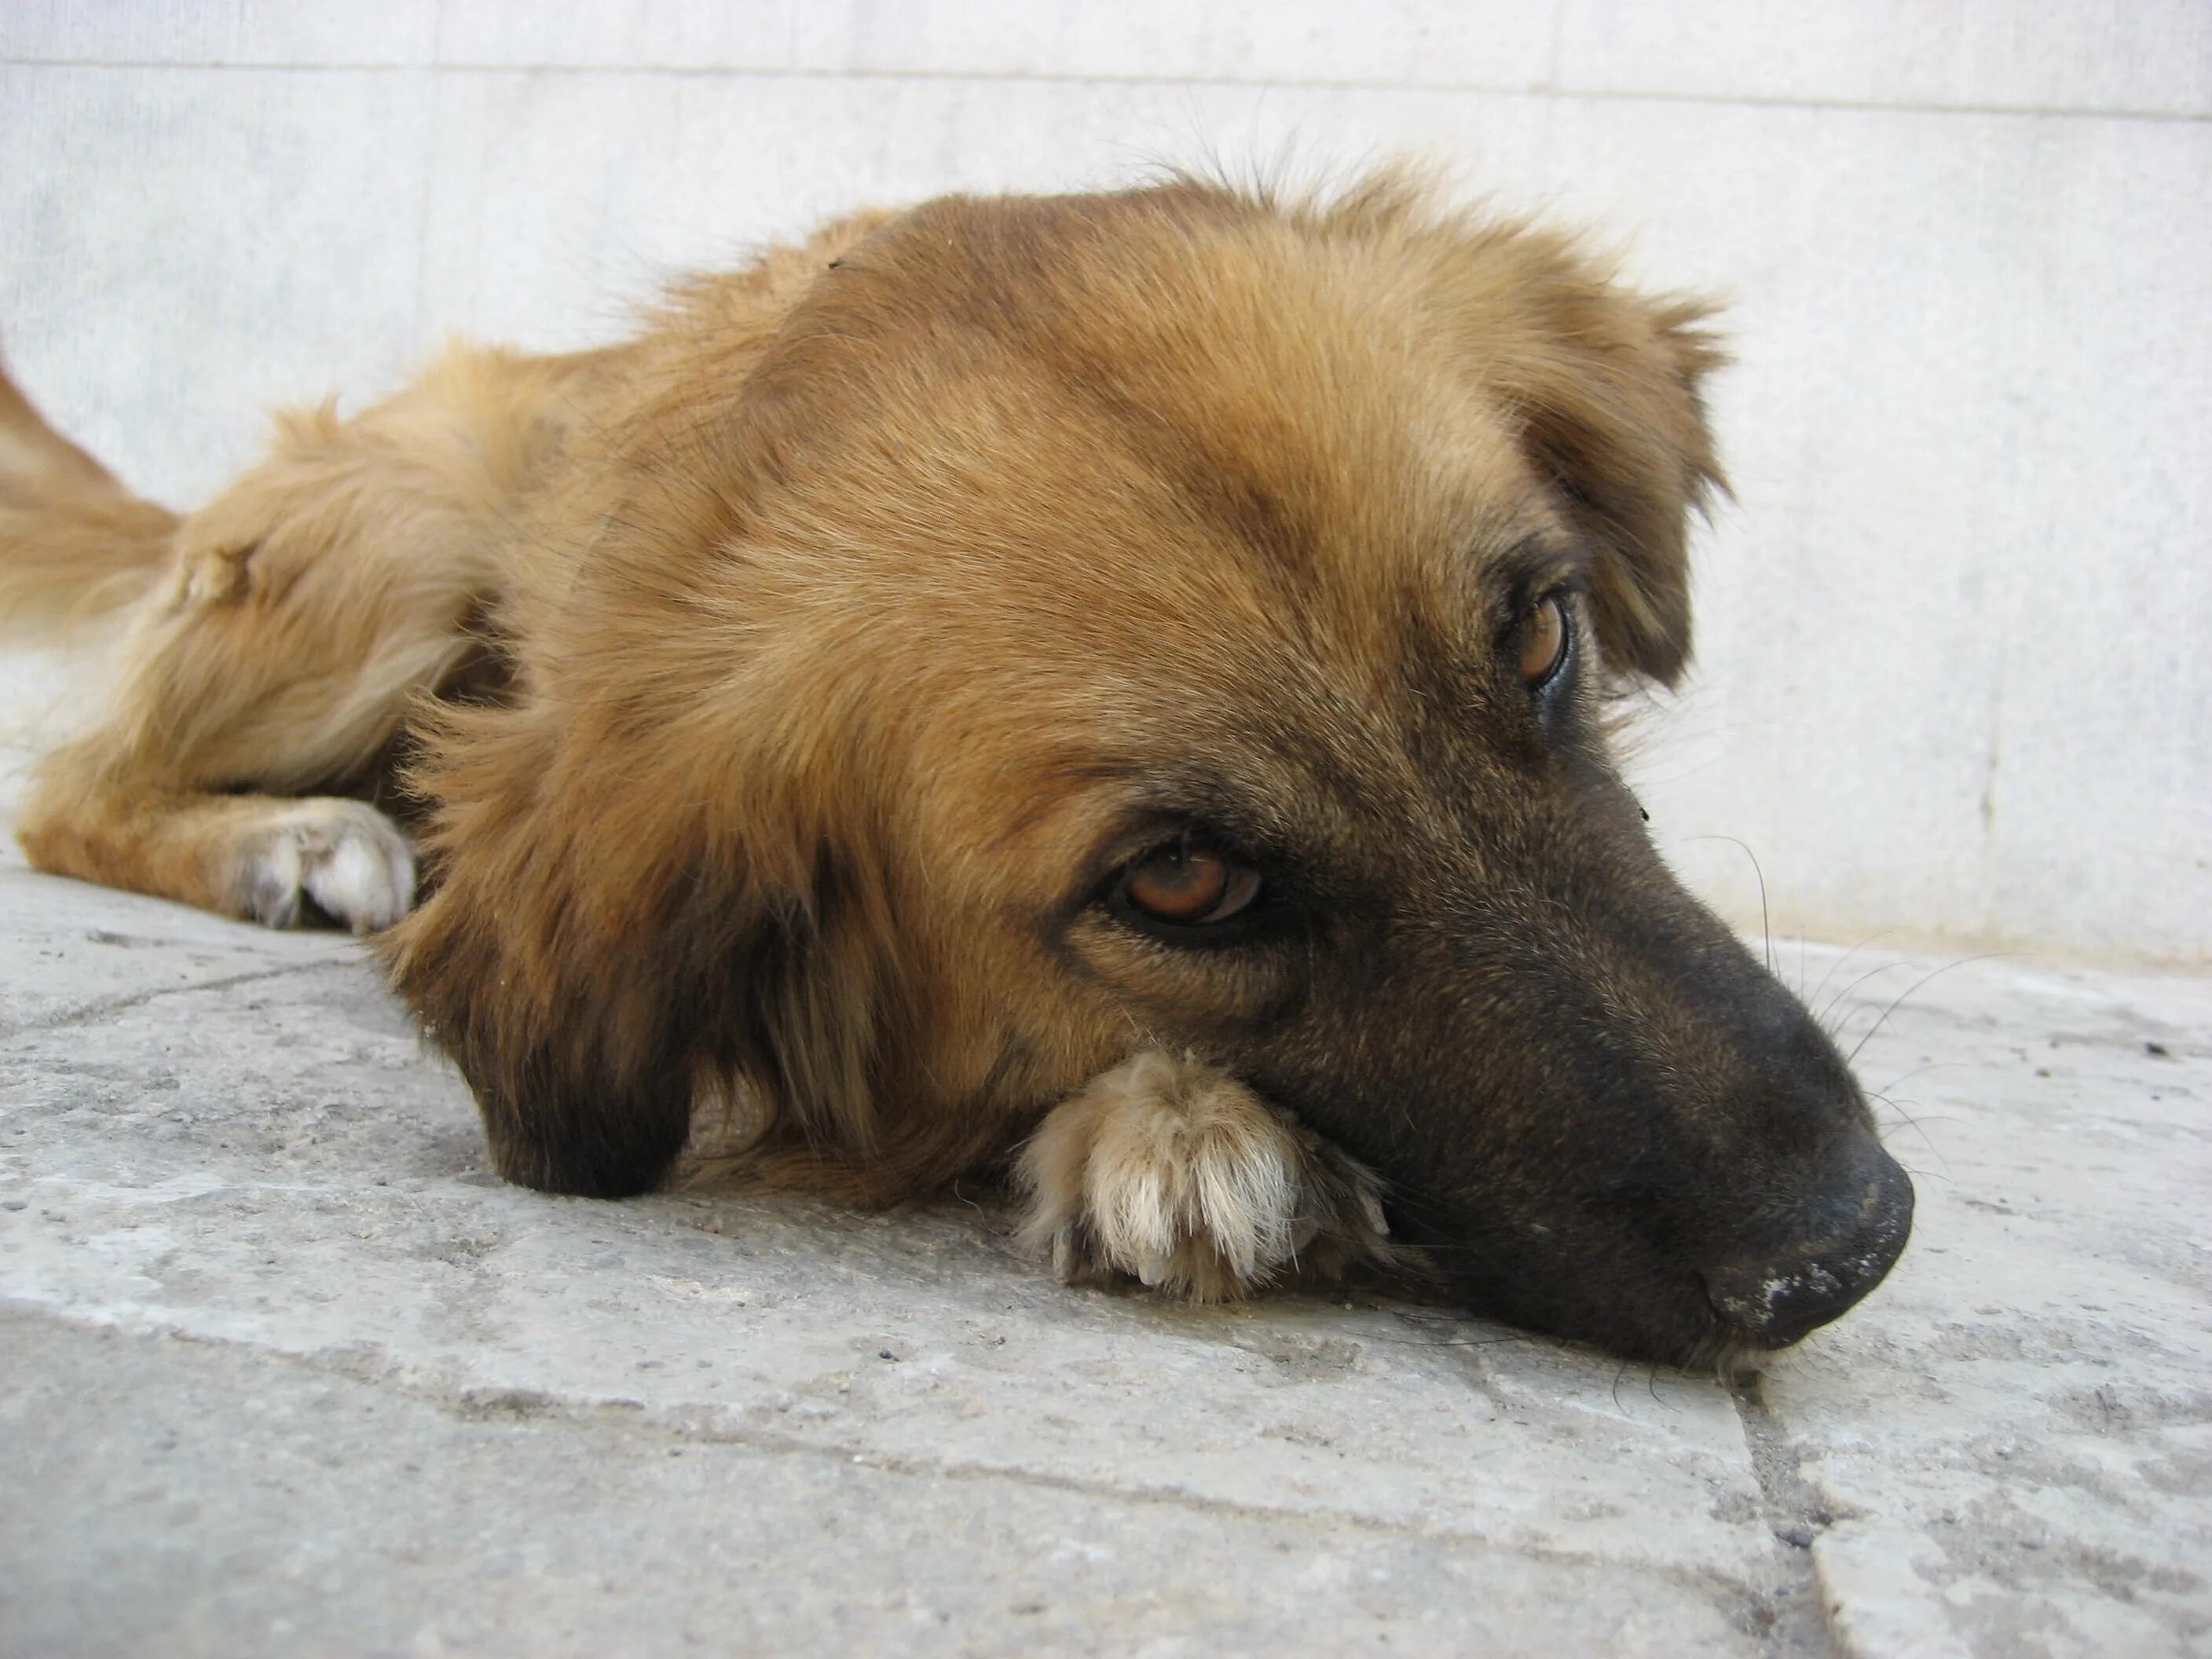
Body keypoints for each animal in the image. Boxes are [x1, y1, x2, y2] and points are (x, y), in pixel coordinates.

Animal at [0, 179, 1911, 1380]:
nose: (1848, 1241)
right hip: (401, 548)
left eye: (1537, 636)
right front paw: (1177, 1125)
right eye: (1179, 881)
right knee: (65, 784)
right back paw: (290, 842)